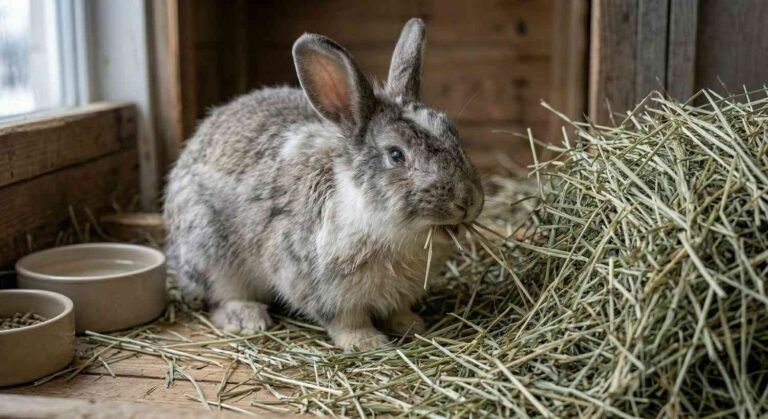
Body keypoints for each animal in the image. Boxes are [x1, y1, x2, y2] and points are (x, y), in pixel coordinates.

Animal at [163, 18, 484, 351]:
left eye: (452, 132)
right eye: (396, 155)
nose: (467, 200)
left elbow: (397, 311)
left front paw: (411, 325)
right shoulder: (319, 287)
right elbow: (346, 321)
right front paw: (367, 342)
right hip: (211, 252)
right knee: (221, 296)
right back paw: (248, 317)